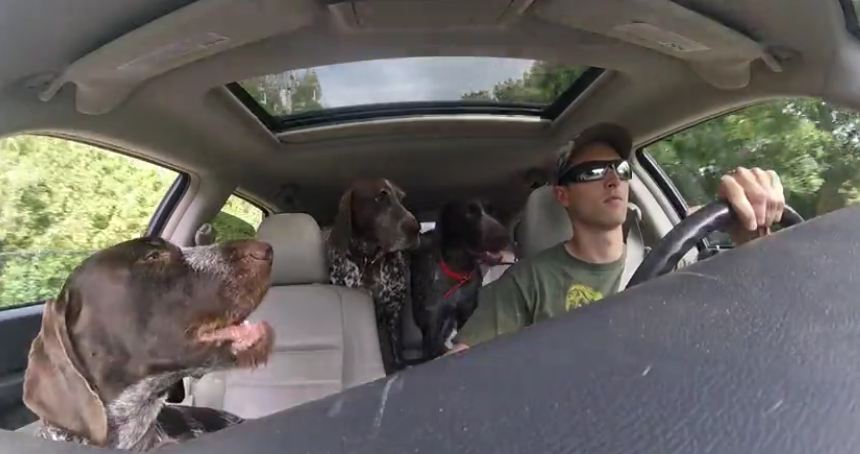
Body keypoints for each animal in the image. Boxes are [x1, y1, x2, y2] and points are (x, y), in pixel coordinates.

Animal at [326, 177, 420, 372]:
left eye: (402, 199)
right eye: (380, 197)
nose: (416, 228)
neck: (369, 260)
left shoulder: (393, 309)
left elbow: (395, 345)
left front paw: (400, 364)